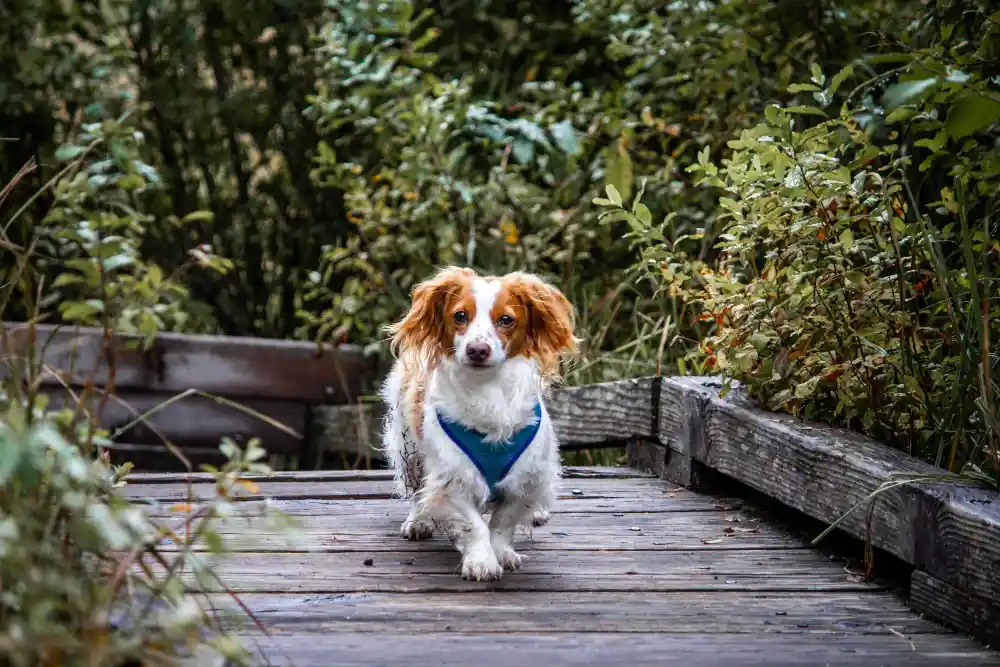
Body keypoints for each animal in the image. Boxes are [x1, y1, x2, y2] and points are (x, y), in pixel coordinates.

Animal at [376, 266, 580, 580]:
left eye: (506, 319)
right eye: (460, 316)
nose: (478, 350)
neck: (487, 389)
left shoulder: (527, 477)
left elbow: (502, 522)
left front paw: (502, 552)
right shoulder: (452, 476)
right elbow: (474, 525)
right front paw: (482, 561)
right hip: (408, 446)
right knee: (416, 487)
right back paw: (418, 520)